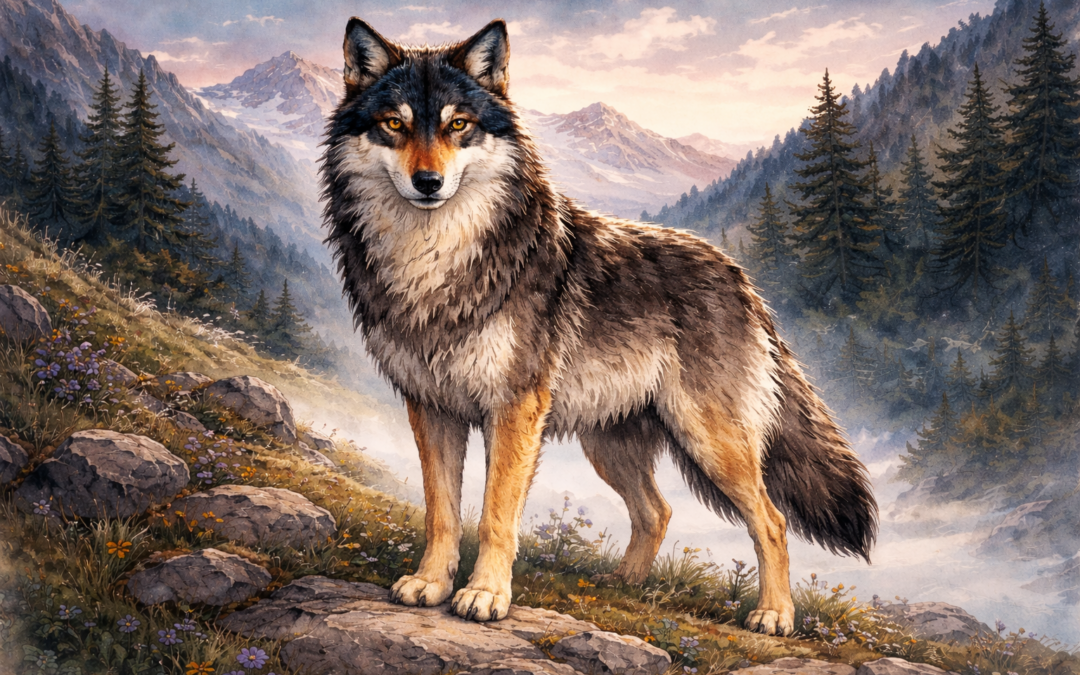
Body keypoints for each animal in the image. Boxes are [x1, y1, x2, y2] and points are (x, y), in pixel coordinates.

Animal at [320, 18, 877, 636]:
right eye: (394, 124)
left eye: (457, 125)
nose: (427, 182)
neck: (435, 264)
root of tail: (741, 280)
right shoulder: (431, 406)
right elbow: (440, 512)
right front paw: (430, 584)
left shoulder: (513, 409)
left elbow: (494, 516)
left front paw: (485, 595)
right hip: (609, 444)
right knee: (658, 511)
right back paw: (624, 585)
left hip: (711, 440)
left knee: (771, 520)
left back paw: (774, 615)